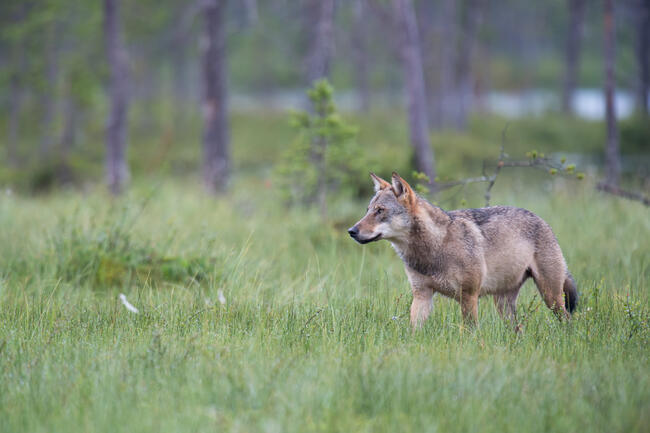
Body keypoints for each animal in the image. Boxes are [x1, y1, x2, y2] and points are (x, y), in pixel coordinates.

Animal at [346, 172, 576, 328]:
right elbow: (414, 330)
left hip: (551, 297)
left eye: (380, 211)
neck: (435, 247)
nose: (351, 231)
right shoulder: (421, 295)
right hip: (504, 305)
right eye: (367, 211)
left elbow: (469, 332)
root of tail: (543, 221)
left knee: (567, 320)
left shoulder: (469, 296)